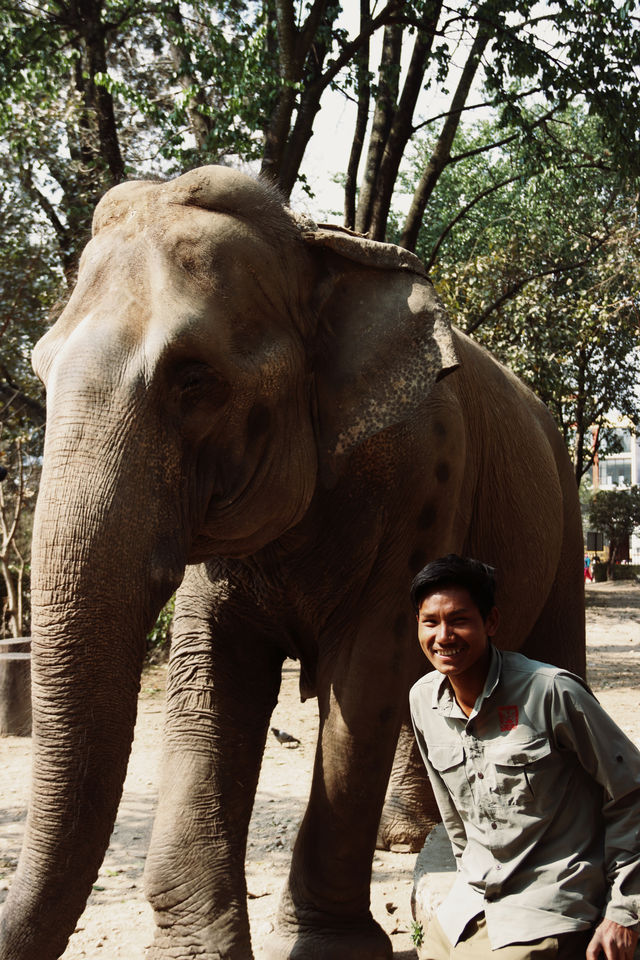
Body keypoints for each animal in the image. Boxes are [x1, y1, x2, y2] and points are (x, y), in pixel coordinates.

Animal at [0, 167, 584, 960]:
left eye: (194, 380)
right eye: (39, 368)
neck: (312, 247)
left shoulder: (428, 474)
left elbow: (366, 676)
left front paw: (330, 947)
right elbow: (208, 677)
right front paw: (197, 950)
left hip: (565, 504)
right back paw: (408, 838)